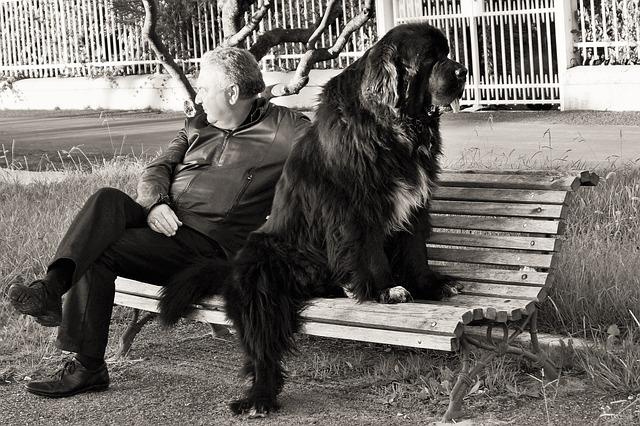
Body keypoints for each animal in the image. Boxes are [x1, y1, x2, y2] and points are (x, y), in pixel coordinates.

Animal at [158, 22, 468, 416]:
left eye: (447, 52)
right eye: (430, 58)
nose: (464, 71)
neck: (390, 125)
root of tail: (231, 267)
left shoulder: (415, 200)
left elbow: (415, 250)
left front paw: (430, 284)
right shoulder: (356, 206)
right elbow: (369, 251)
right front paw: (384, 288)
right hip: (263, 278)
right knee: (262, 344)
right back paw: (259, 396)